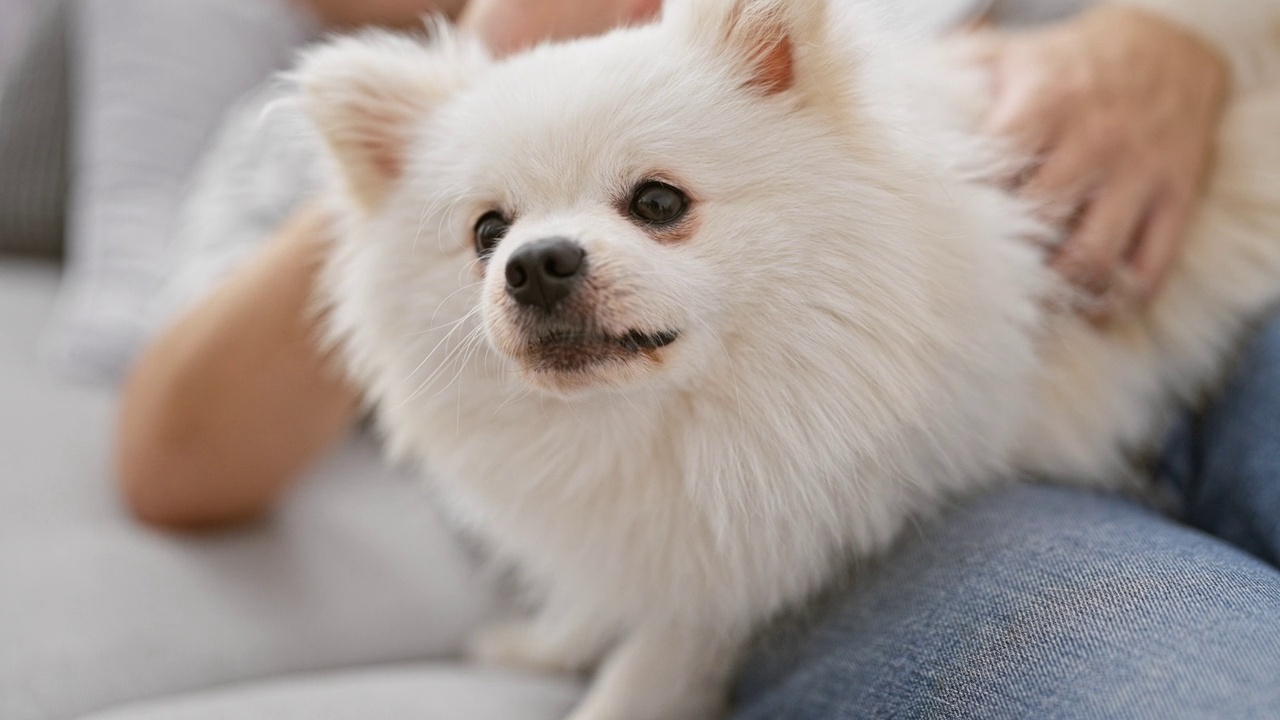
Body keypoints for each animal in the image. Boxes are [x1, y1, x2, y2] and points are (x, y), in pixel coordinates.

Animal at [294, 1, 1280, 712]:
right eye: (487, 233)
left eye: (659, 202)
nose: (535, 263)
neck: (653, 423)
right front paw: (545, 642)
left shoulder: (771, 541)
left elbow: (659, 651)